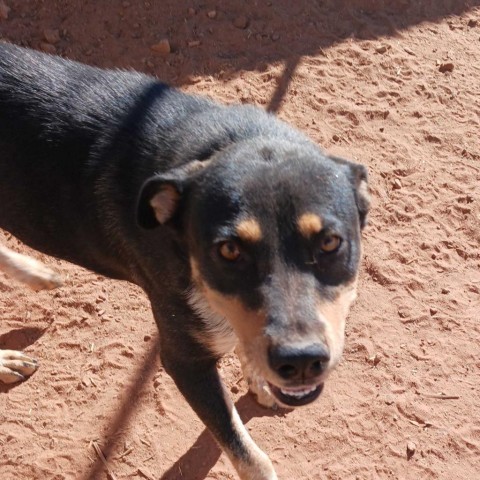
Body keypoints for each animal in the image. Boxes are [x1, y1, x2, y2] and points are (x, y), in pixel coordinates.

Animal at [0, 42, 370, 480]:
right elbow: (247, 453)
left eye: (330, 242)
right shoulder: (184, 360)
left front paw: (259, 381)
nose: (300, 363)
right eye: (228, 251)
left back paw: (35, 273)